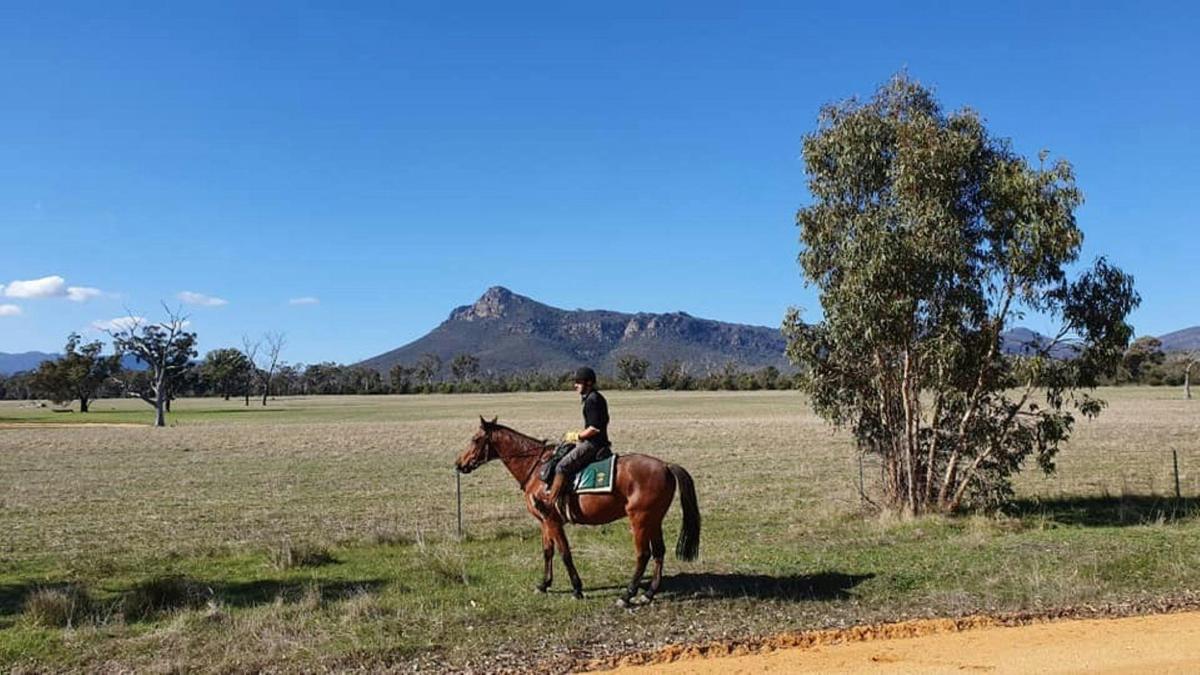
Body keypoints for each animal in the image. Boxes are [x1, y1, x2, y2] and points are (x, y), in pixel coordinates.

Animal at [455, 416, 700, 606]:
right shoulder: (544, 522)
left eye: (475, 439)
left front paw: (576, 589)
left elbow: (565, 553)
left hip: (639, 520)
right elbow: (548, 552)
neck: (536, 468)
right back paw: (648, 594)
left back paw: (627, 595)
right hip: (653, 520)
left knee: (644, 554)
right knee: (659, 552)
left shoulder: (552, 521)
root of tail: (665, 466)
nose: (459, 464)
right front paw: (543, 584)